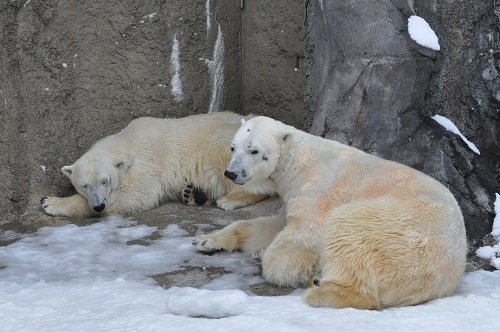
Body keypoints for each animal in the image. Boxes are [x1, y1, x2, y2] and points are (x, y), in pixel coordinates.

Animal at [42, 112, 278, 218]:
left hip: (225, 144)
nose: (98, 205)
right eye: (84, 185)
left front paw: (50, 202)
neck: (125, 142)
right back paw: (192, 193)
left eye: (105, 181)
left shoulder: (145, 168)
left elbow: (135, 198)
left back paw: (229, 199)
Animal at [193, 116, 466, 308]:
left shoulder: (315, 190)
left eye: (255, 151)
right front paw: (205, 240)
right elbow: (269, 225)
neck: (297, 162)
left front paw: (280, 266)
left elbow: (302, 235)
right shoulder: (292, 197)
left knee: (349, 229)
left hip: (400, 229)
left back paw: (320, 290)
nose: (231, 173)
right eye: (233, 147)